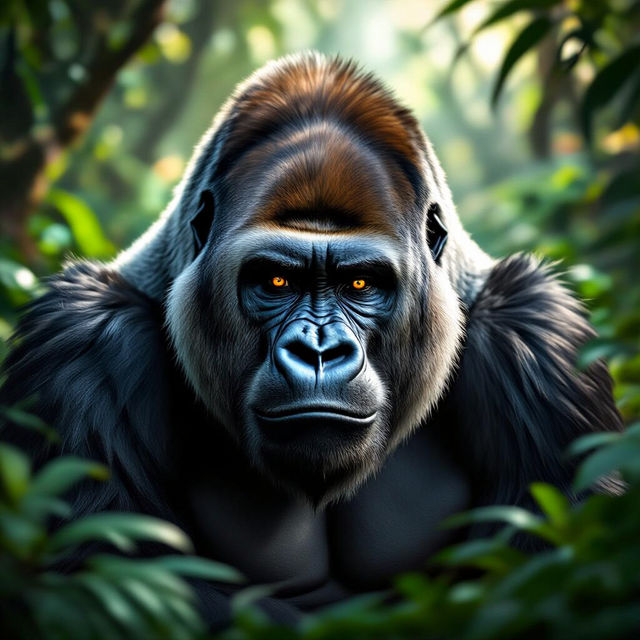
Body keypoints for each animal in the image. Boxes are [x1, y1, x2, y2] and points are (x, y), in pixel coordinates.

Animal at [0, 53, 623, 627]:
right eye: (276, 281)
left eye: (361, 283)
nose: (319, 351)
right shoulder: (84, 336)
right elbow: (110, 580)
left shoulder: (537, 335)